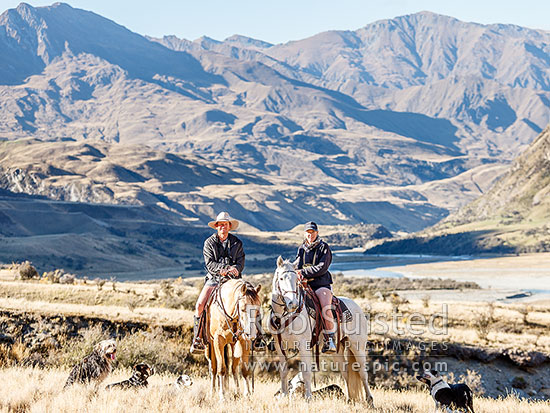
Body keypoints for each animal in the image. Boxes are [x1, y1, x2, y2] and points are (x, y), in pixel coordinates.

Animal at [270, 256, 376, 404]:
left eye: (296, 280)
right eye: (281, 279)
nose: (293, 304)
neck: (285, 316)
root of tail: (358, 307)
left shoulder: (303, 345)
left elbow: (306, 372)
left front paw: (308, 397)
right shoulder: (280, 347)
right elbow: (283, 371)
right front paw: (284, 396)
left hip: (357, 346)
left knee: (362, 373)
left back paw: (370, 400)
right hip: (338, 350)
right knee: (345, 373)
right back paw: (349, 400)